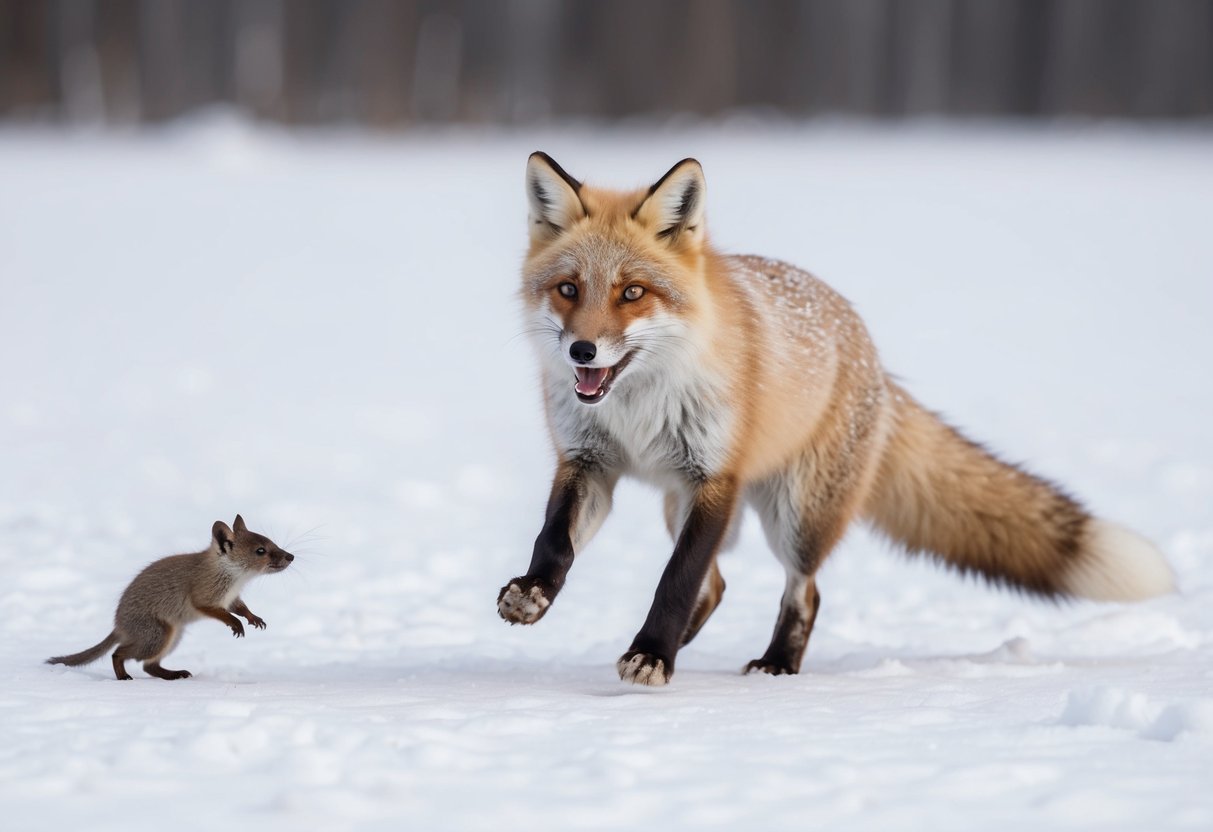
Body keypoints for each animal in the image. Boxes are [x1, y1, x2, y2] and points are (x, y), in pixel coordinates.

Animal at [496, 152, 1175, 687]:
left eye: (632, 293)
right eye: (568, 289)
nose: (582, 352)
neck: (638, 408)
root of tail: (870, 351)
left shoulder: (717, 479)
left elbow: (676, 580)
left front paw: (651, 654)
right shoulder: (590, 462)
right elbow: (555, 541)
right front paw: (533, 594)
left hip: (794, 515)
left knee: (802, 590)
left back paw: (774, 664)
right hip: (680, 504)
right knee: (718, 588)